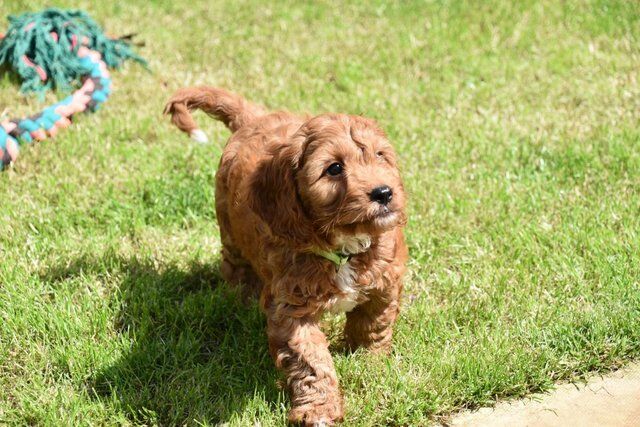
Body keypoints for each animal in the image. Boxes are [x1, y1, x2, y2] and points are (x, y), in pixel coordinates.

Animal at [164, 88, 404, 426]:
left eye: (380, 156)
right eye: (334, 168)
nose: (383, 193)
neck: (342, 250)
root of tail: (253, 118)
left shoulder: (385, 281)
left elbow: (373, 326)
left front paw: (370, 364)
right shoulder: (290, 308)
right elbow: (311, 361)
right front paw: (318, 409)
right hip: (229, 228)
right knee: (236, 266)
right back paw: (244, 301)